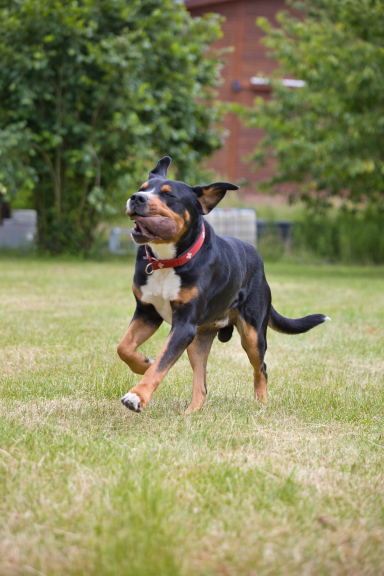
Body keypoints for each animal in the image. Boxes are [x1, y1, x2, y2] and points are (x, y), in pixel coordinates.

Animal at [118, 155, 330, 412]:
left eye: (170, 195)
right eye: (142, 189)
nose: (136, 198)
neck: (168, 261)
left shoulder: (184, 325)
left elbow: (160, 364)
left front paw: (137, 395)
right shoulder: (147, 313)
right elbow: (124, 348)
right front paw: (142, 364)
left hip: (252, 335)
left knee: (261, 369)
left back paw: (261, 404)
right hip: (197, 340)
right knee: (201, 385)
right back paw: (190, 413)